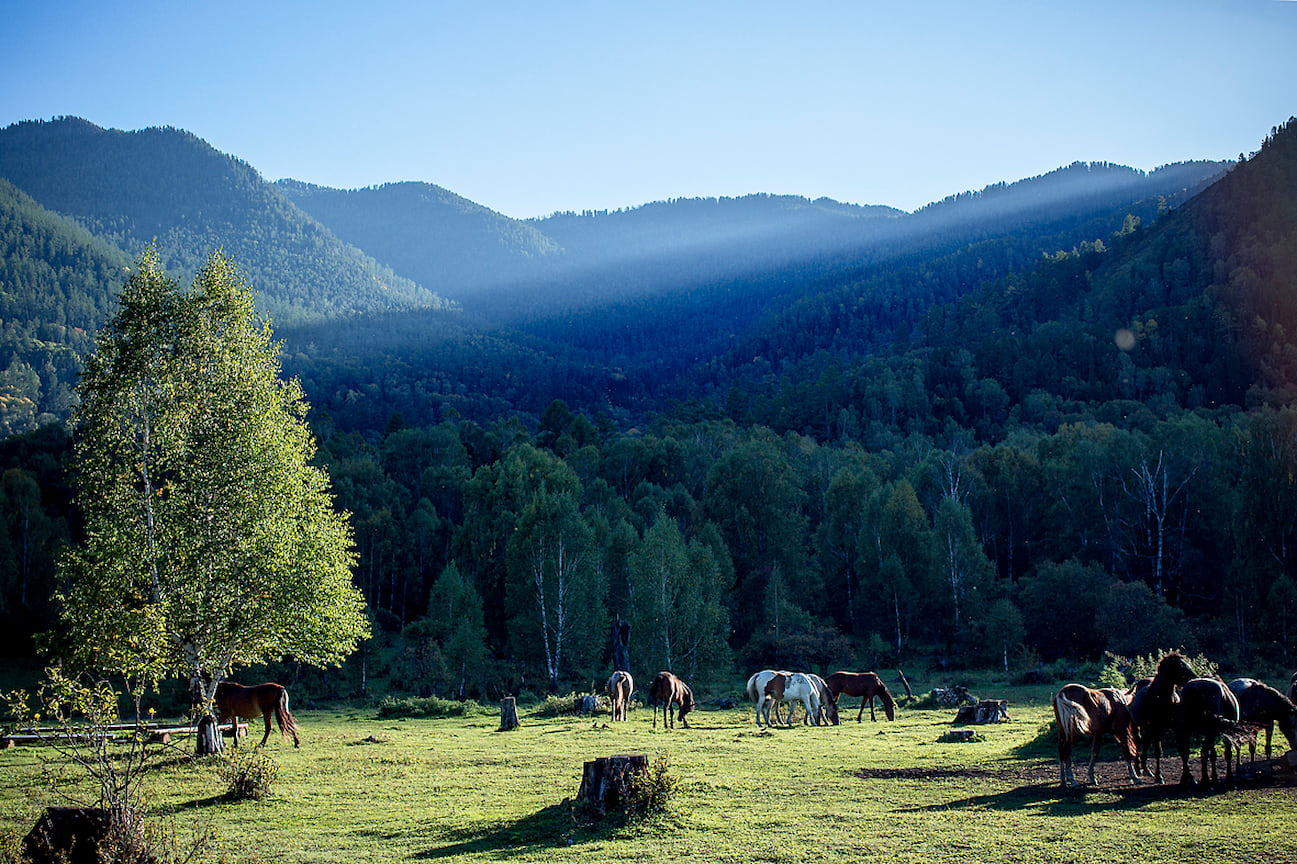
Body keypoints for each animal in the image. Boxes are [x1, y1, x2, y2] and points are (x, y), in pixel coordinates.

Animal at [1125, 646, 1193, 778]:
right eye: (1181, 667)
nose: (1194, 678)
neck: (1163, 699)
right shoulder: (1157, 728)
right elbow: (1158, 752)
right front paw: (1159, 776)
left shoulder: (1176, 727)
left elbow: (1182, 751)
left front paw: (1188, 776)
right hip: (1138, 727)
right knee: (1138, 742)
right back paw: (1137, 768)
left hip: (1149, 729)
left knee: (1145, 742)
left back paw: (1145, 769)